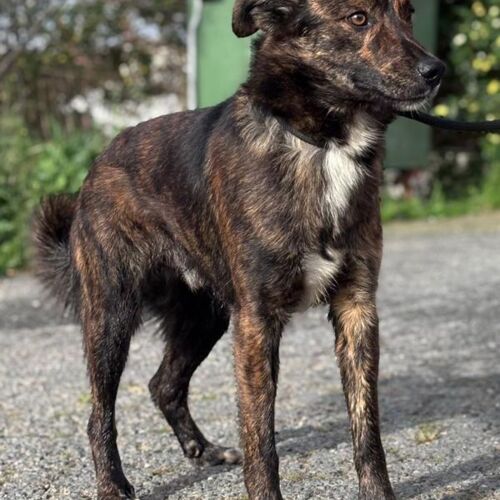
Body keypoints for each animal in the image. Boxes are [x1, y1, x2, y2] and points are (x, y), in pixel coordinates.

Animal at [33, 0, 445, 498]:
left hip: (205, 316)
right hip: (111, 315)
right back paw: (113, 484)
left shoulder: (357, 308)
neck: (325, 145)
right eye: (358, 18)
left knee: (163, 384)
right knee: (100, 413)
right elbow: (260, 436)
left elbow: (367, 429)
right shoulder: (257, 320)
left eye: (409, 13)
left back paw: (203, 450)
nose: (436, 71)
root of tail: (97, 167)